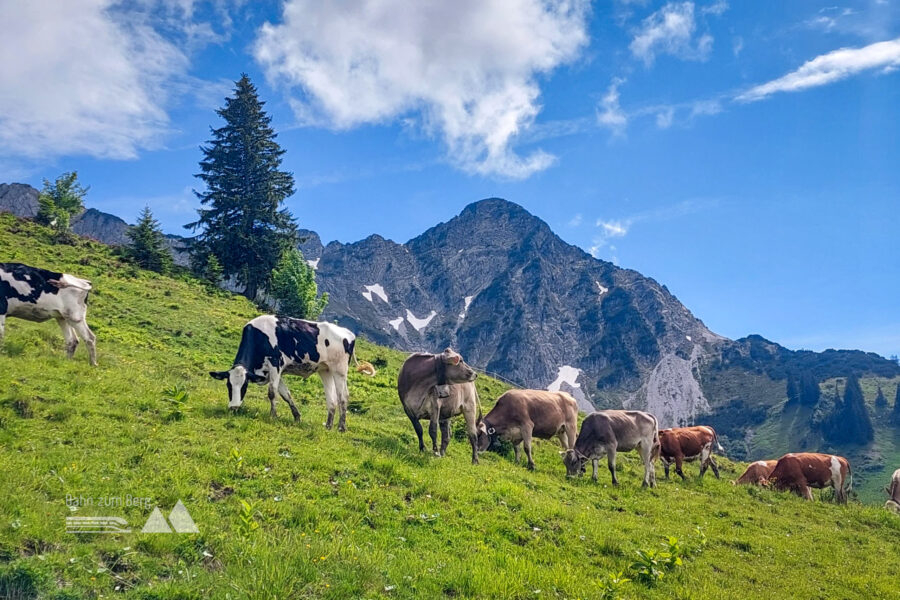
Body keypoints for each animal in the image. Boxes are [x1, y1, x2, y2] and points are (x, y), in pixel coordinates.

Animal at [211, 316, 358, 428]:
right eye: (228, 385)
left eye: (244, 386)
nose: (233, 407)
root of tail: (348, 333)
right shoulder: (273, 373)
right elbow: (286, 394)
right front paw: (297, 417)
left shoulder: (276, 364)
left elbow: (272, 392)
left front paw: (273, 416)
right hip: (325, 370)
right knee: (331, 400)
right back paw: (328, 426)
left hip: (339, 370)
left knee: (343, 396)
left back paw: (341, 427)